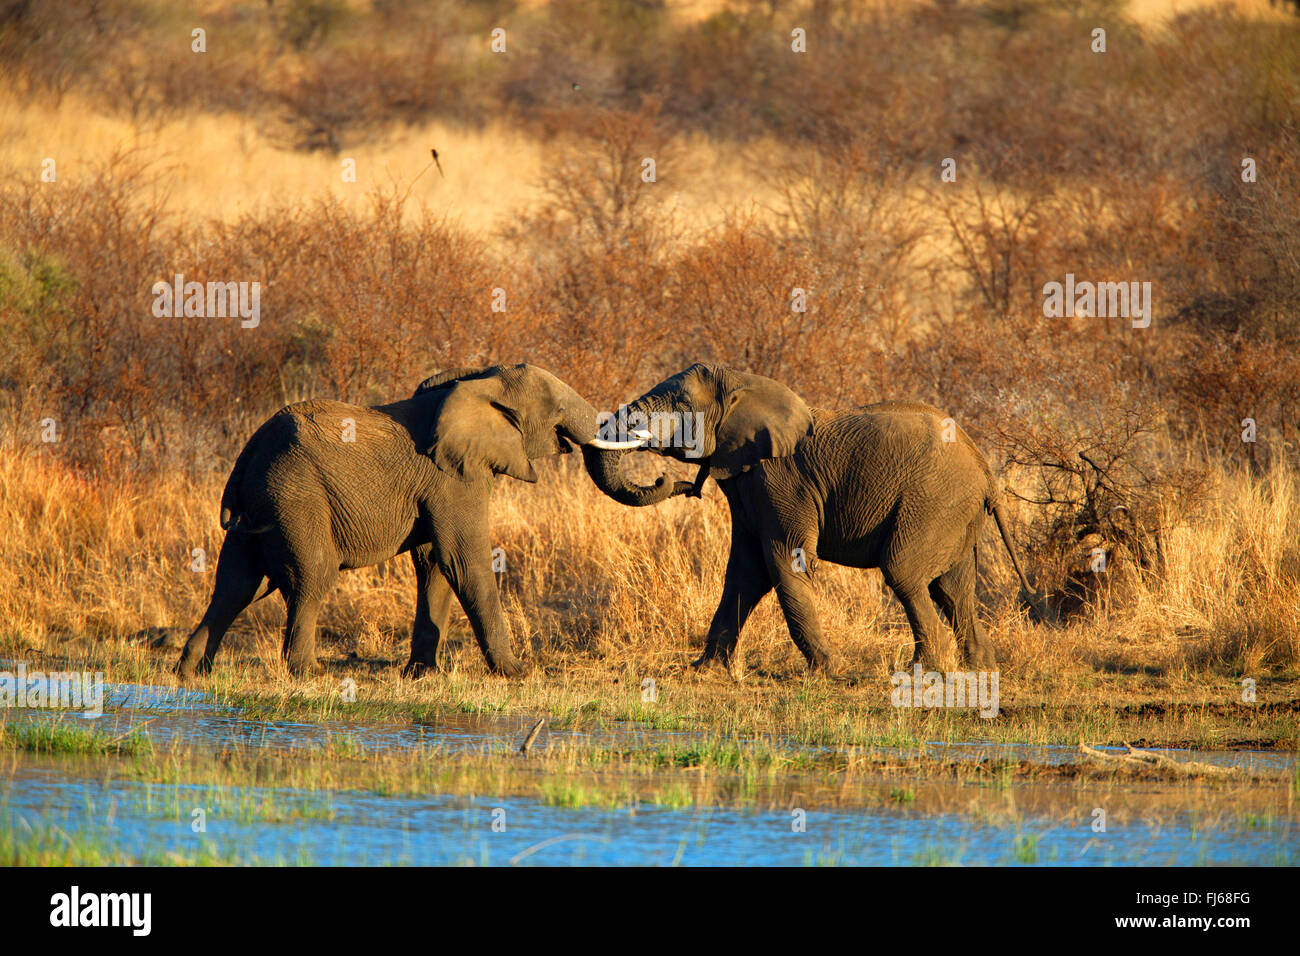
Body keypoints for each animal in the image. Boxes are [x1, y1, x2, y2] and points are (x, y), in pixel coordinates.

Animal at [176, 361, 644, 681]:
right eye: (559, 408)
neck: (480, 382)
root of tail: (249, 452)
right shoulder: (454, 476)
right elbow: (464, 561)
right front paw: (517, 672)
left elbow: (435, 562)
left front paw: (421, 674)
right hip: (294, 496)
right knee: (311, 575)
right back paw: (309, 673)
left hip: (262, 504)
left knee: (237, 584)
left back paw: (193, 671)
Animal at [585, 361, 1029, 676]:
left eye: (679, 405)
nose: (674, 482)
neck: (744, 385)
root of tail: (985, 470)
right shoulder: (748, 482)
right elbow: (744, 573)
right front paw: (704, 669)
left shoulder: (781, 481)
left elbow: (786, 562)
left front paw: (827, 671)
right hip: (954, 511)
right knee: (954, 588)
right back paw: (980, 667)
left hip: (934, 501)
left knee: (905, 572)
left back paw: (926, 670)